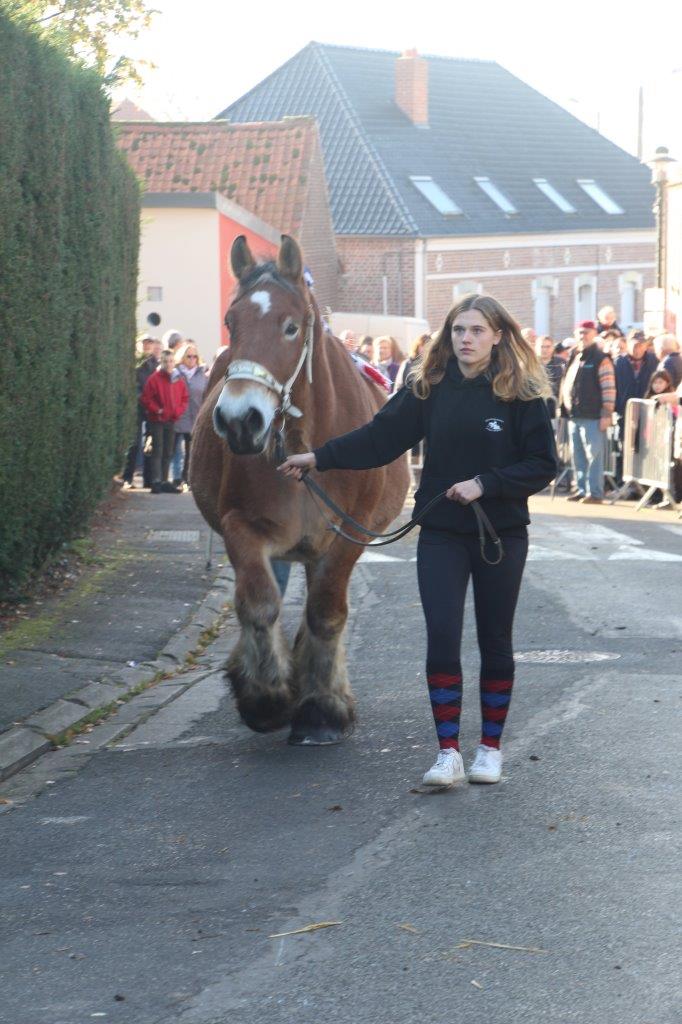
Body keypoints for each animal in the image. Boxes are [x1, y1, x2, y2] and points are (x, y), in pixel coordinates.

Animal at [188, 232, 405, 745]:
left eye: (290, 327)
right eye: (231, 323)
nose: (239, 421)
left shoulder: (348, 535)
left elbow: (326, 611)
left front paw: (322, 707)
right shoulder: (241, 528)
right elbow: (259, 603)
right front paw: (266, 696)